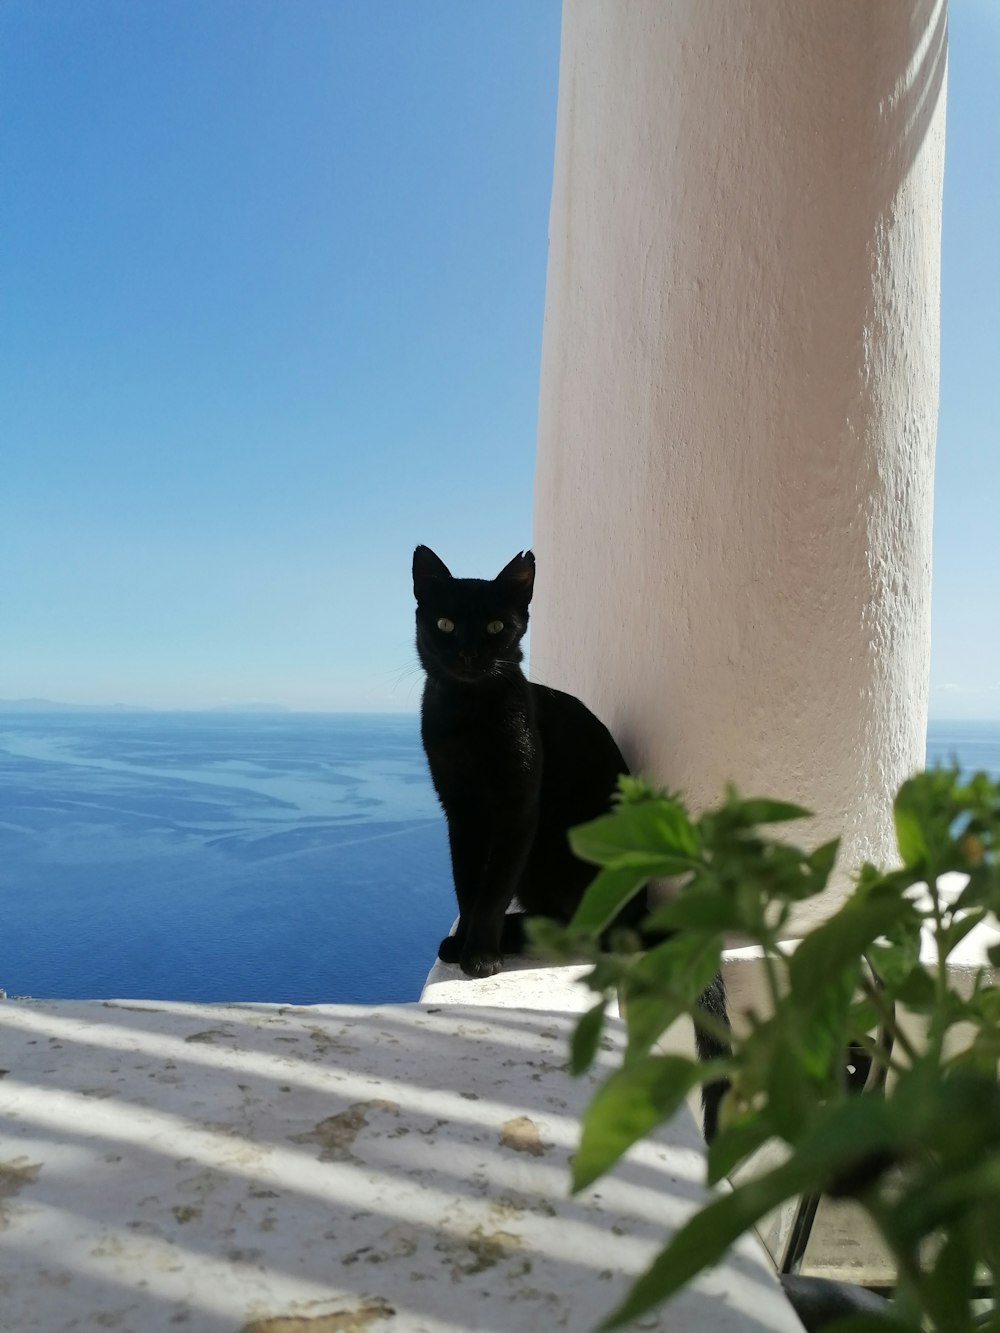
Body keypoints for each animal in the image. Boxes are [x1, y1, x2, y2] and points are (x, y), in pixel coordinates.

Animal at [410, 546, 730, 1141]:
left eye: (496, 626)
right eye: (444, 624)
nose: (468, 653)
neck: (467, 715)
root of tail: (641, 912)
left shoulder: (517, 812)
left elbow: (492, 888)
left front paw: (480, 953)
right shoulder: (460, 815)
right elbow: (467, 882)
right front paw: (463, 942)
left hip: (558, 850)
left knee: (581, 929)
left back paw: (514, 935)